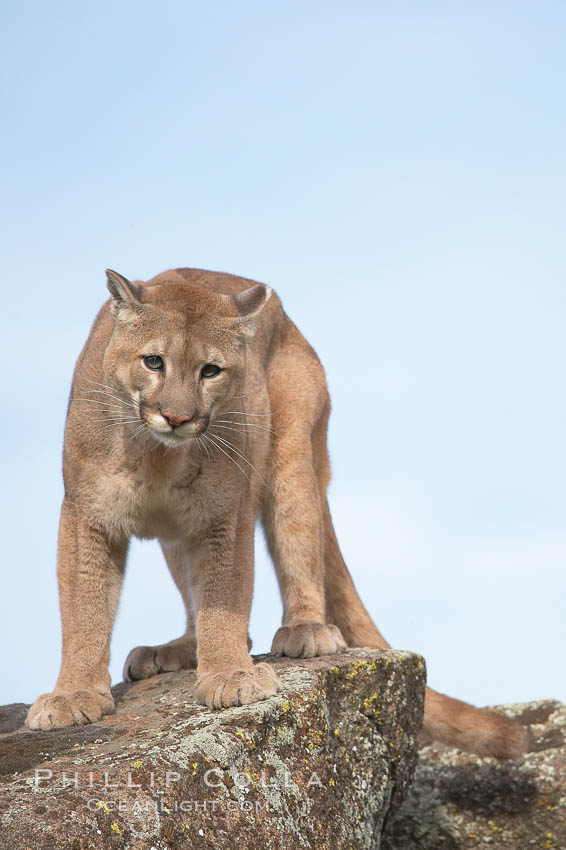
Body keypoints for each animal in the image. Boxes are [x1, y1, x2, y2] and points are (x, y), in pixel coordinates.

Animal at [26, 268, 532, 760]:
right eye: (153, 362)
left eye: (211, 370)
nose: (177, 416)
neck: (157, 458)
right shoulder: (86, 516)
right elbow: (84, 608)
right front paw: (72, 694)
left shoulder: (225, 515)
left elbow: (224, 600)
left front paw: (229, 675)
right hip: (180, 530)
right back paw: (178, 649)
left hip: (293, 458)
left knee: (300, 546)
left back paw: (305, 630)